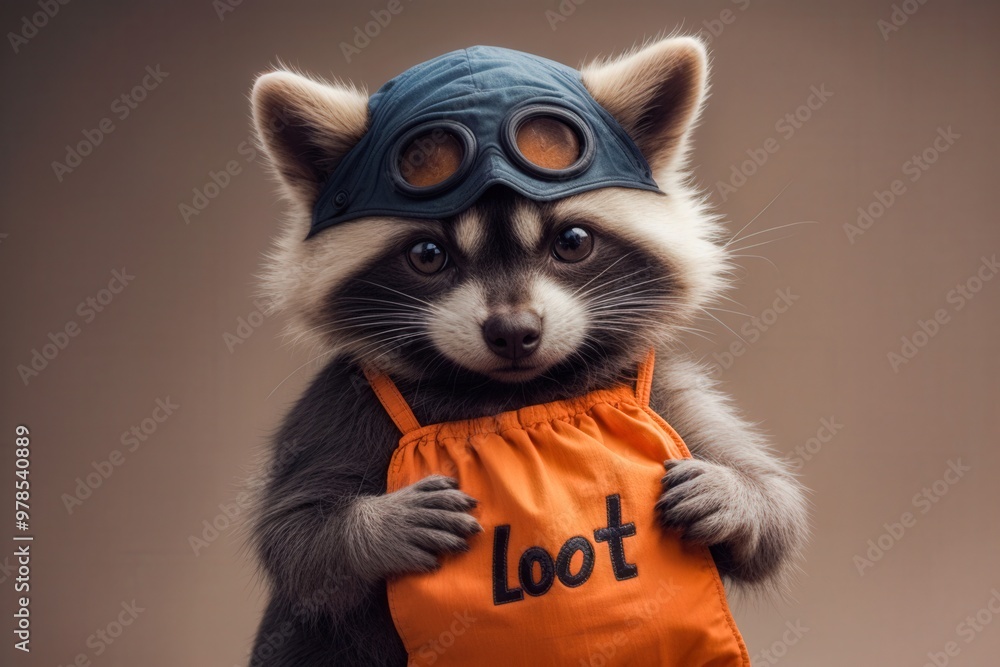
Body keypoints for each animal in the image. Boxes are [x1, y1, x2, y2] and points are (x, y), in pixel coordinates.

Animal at [246, 37, 808, 666]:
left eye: (573, 242)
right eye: (427, 255)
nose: (513, 332)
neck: (511, 391)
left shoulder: (667, 389)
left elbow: (777, 511)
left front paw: (736, 495)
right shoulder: (336, 406)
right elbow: (298, 544)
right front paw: (375, 527)